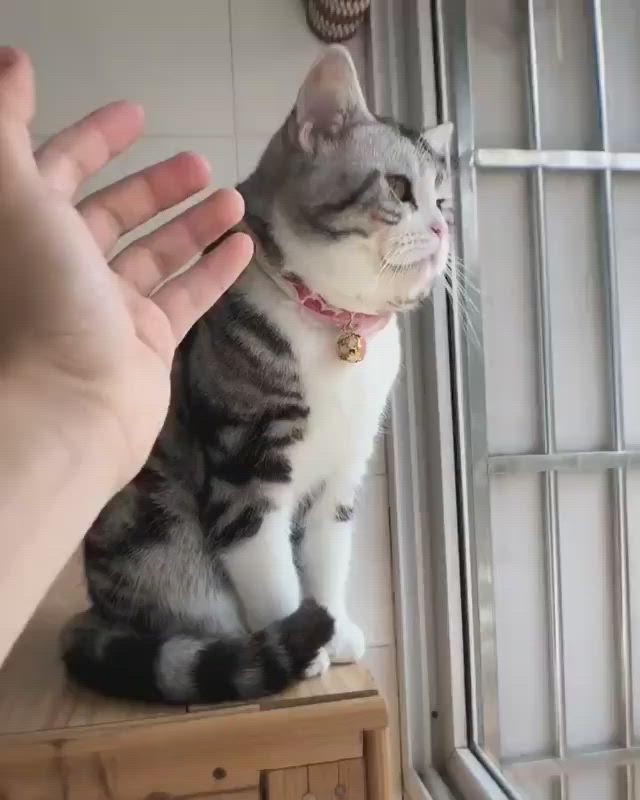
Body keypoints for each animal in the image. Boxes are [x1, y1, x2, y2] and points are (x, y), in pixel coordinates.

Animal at [63, 47, 456, 704]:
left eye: (445, 202)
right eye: (401, 189)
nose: (444, 229)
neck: (336, 325)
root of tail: (96, 611)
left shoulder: (344, 473)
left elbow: (328, 557)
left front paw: (334, 628)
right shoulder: (247, 464)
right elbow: (269, 566)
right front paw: (300, 642)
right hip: (159, 536)